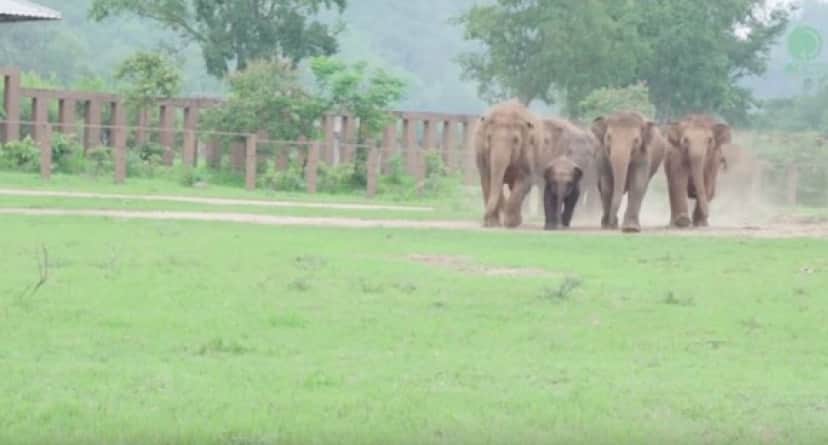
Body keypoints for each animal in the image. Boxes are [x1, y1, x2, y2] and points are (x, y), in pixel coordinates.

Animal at [476, 99, 548, 227]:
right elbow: (489, 179)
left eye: (516, 140)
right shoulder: (482, 153)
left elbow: (524, 180)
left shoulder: (528, 152)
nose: (483, 222)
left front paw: (510, 223)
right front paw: (493, 224)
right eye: (489, 137)